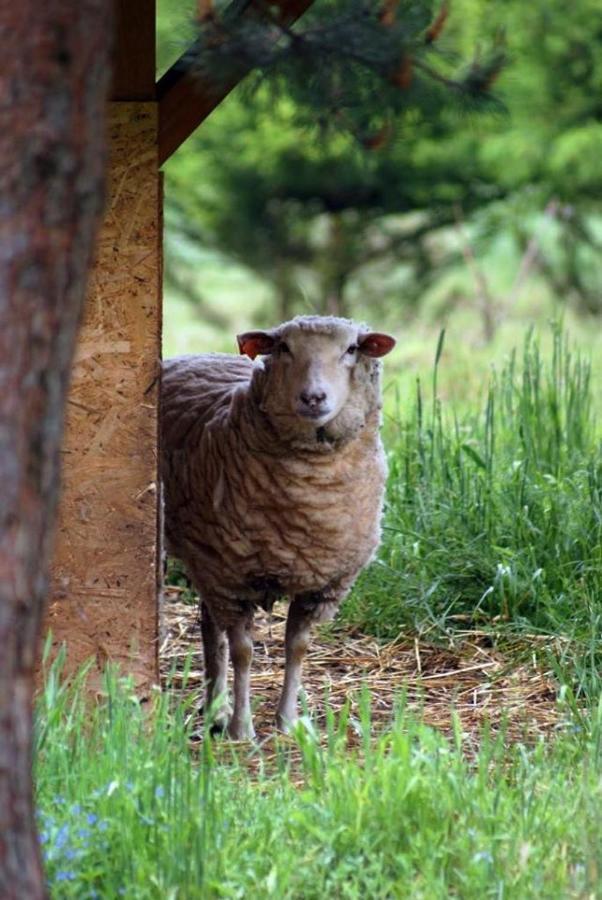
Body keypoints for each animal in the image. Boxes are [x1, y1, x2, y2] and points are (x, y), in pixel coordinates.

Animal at [159, 316, 394, 740]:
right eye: (283, 347)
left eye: (352, 349)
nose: (314, 397)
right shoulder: (233, 578)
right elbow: (243, 652)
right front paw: (243, 728)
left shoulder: (323, 584)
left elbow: (297, 647)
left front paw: (287, 722)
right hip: (210, 559)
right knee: (214, 633)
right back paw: (220, 711)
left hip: (210, 559)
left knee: (208, 625)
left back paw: (214, 709)